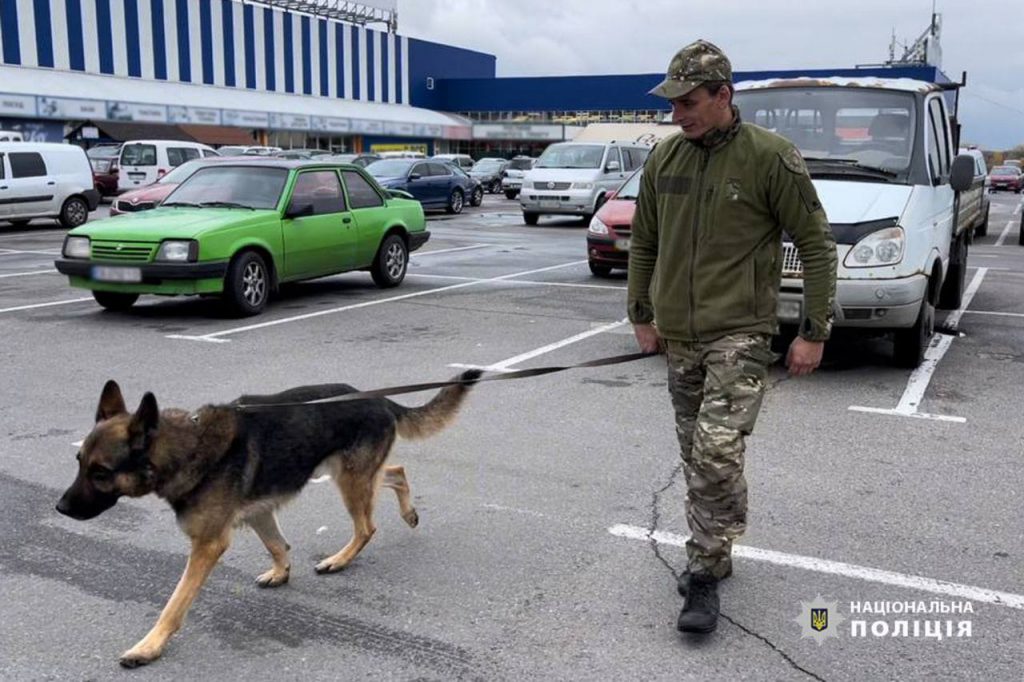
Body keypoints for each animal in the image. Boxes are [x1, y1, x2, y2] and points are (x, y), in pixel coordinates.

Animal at [58, 368, 481, 667]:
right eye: (78, 462)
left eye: (100, 472)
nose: (60, 508)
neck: (186, 448)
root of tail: (379, 400)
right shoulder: (259, 513)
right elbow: (277, 545)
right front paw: (281, 573)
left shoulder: (207, 545)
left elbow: (175, 604)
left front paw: (148, 646)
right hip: (352, 474)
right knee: (396, 472)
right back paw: (409, 513)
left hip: (349, 480)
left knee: (367, 525)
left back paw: (339, 560)